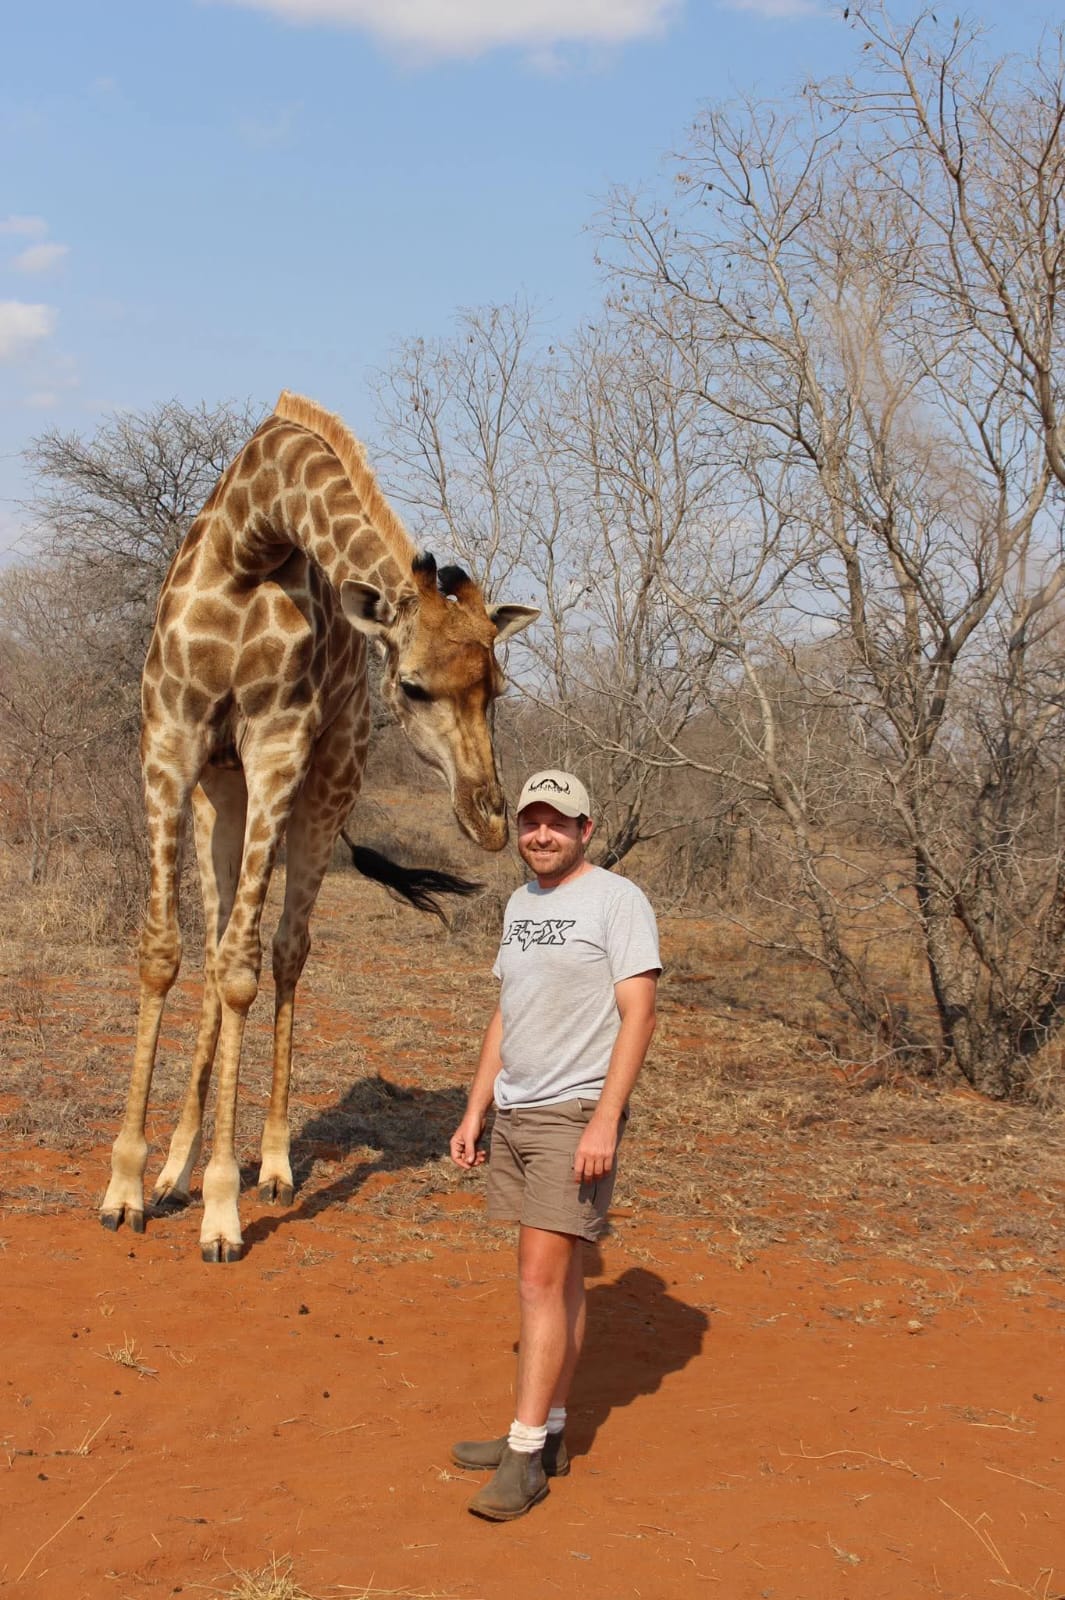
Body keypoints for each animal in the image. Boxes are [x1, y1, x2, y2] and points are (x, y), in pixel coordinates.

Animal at [100, 390, 537, 1262]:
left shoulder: (277, 745)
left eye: (497, 687)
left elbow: (243, 967)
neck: (250, 538)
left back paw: (269, 1166)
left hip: (328, 780)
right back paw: (174, 1168)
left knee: (285, 951)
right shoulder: (170, 739)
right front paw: (129, 1185)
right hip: (221, 792)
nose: (488, 822)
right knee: (217, 943)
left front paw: (224, 1211)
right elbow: (166, 953)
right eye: (415, 686)